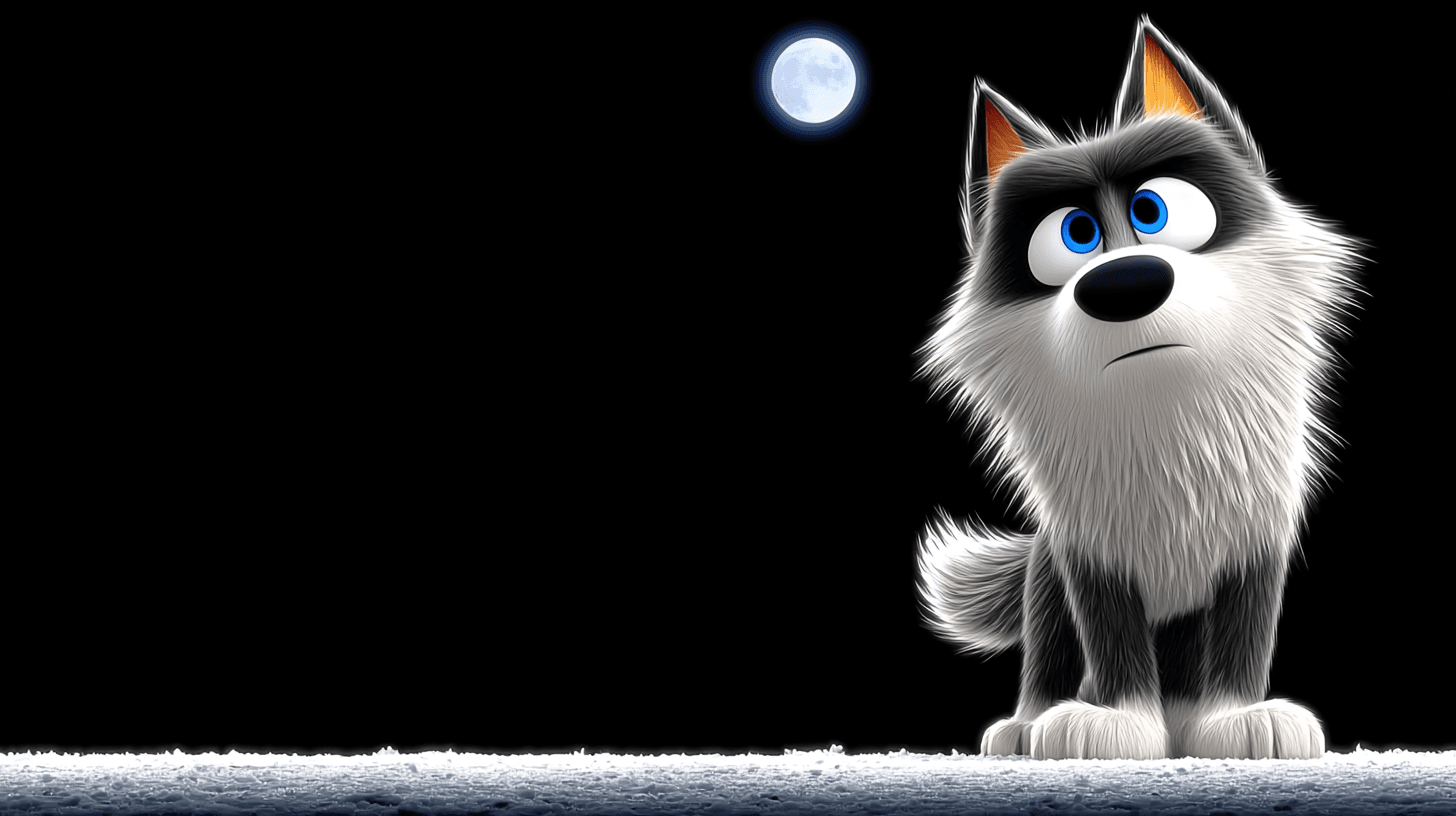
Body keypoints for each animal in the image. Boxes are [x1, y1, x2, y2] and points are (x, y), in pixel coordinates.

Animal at [915, 17, 1362, 760]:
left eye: (1155, 212)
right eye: (1075, 234)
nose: (1125, 284)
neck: (1164, 416)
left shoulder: (1256, 539)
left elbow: (1243, 636)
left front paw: (1239, 717)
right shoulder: (1090, 556)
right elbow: (1111, 638)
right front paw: (1116, 722)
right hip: (1045, 578)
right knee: (1050, 649)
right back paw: (1030, 722)